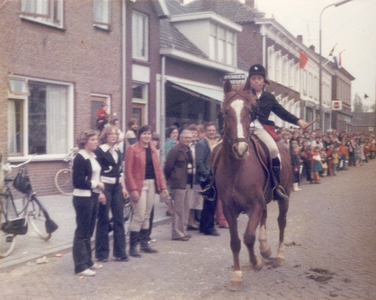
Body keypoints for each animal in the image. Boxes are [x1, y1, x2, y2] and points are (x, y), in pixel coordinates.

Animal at [210, 79, 292, 290]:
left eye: (250, 111)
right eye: (225, 112)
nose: (241, 149)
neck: (236, 168)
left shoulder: (254, 204)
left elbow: (248, 237)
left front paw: (256, 263)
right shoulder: (229, 209)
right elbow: (235, 241)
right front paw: (237, 275)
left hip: (284, 196)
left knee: (281, 221)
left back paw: (279, 255)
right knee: (265, 217)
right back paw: (265, 248)